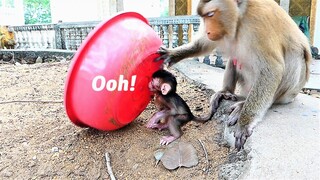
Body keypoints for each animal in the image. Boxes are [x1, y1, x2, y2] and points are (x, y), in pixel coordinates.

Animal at [158, 0, 312, 151]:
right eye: (204, 17)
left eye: (211, 14)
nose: (207, 30)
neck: (240, 18)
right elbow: (204, 44)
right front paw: (173, 54)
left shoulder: (258, 22)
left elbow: (273, 68)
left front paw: (245, 121)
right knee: (235, 55)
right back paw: (225, 92)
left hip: (288, 93)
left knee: (295, 55)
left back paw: (247, 104)